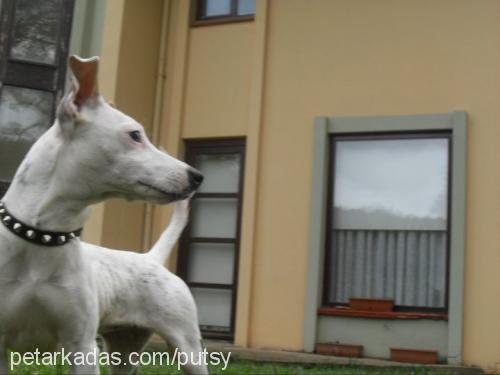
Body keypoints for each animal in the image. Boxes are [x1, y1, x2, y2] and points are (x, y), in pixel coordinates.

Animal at [0, 55, 207, 375]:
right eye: (135, 134)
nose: (196, 177)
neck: (41, 237)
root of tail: (151, 258)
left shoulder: (82, 346)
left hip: (187, 348)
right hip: (124, 349)